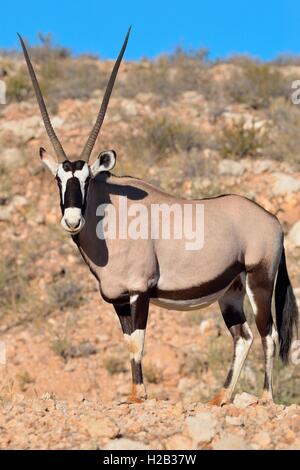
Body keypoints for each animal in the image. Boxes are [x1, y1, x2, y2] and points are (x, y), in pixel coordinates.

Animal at [18, 30, 298, 404]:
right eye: (59, 180)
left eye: (88, 178)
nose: (73, 220)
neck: (112, 217)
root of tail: (272, 219)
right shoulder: (118, 298)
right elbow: (128, 342)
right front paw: (134, 393)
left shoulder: (140, 291)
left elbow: (138, 342)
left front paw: (140, 396)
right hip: (231, 291)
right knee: (243, 336)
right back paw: (221, 397)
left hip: (260, 280)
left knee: (269, 335)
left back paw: (266, 398)